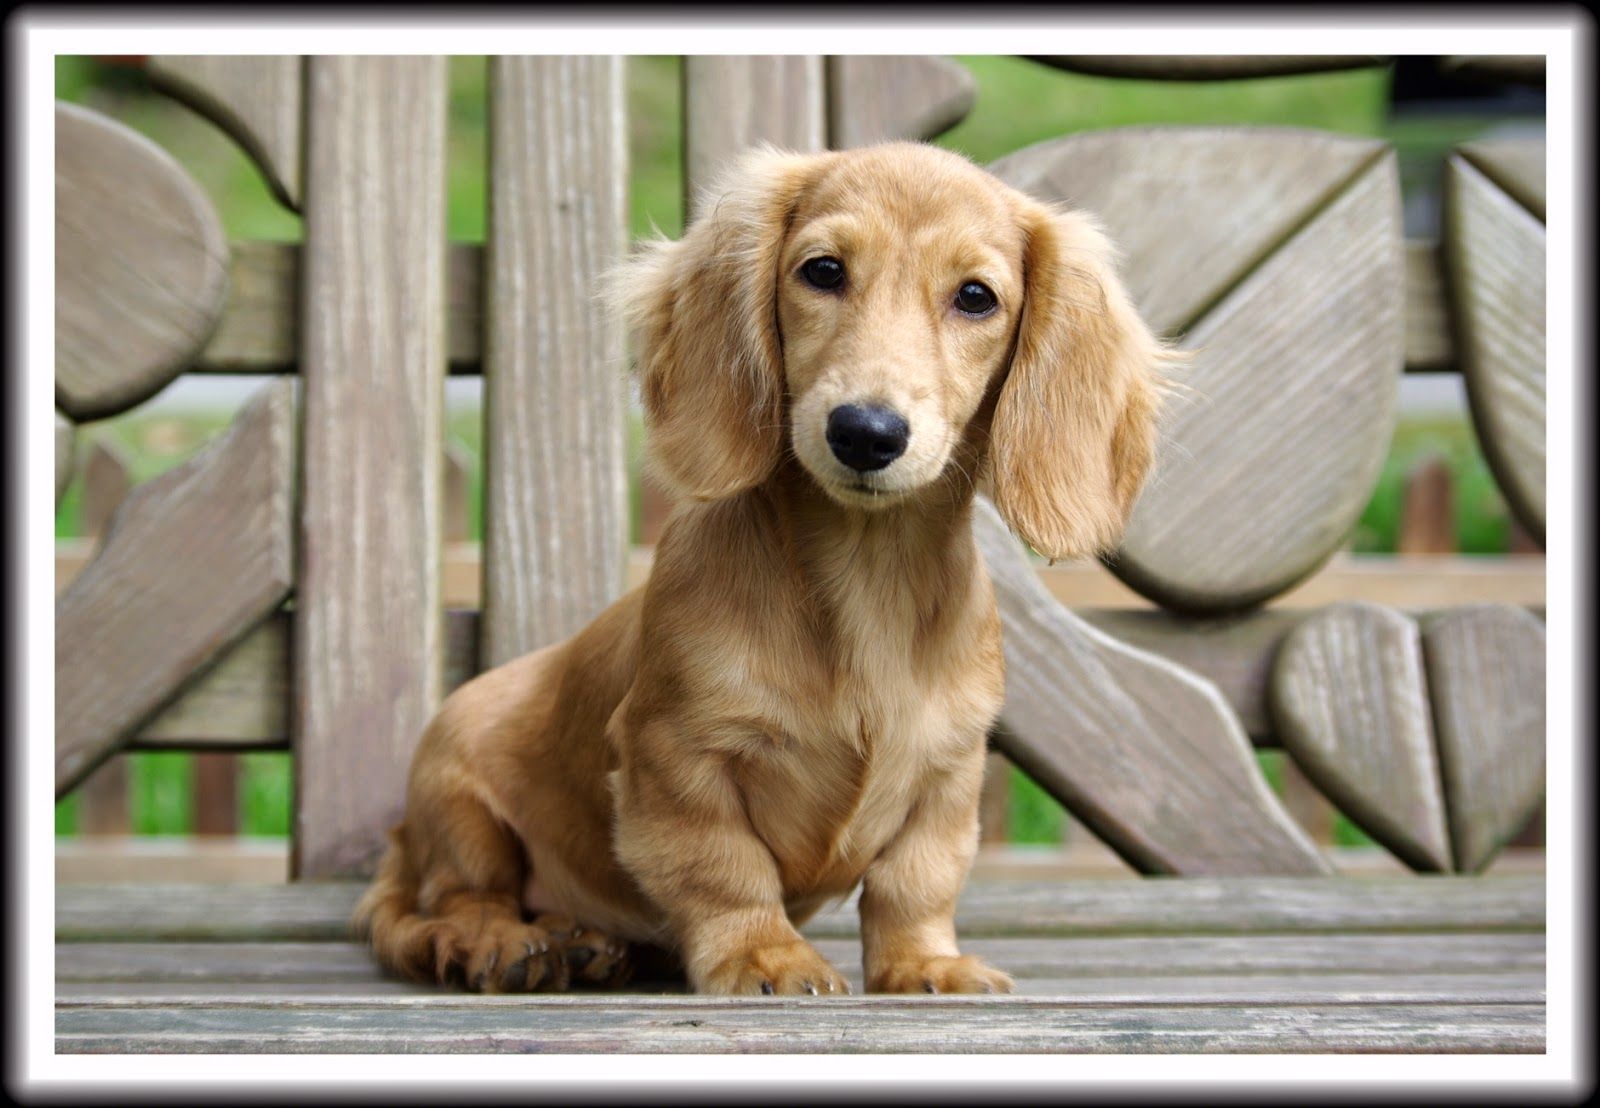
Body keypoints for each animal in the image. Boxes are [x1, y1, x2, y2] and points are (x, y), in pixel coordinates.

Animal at [356, 138, 1171, 992]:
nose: (866, 432)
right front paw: (763, 954)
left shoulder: (948, 774)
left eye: (976, 297)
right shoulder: (676, 756)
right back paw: (509, 944)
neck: (864, 582)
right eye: (823, 270)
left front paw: (923, 964)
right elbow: (725, 867)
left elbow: (916, 880)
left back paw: (581, 942)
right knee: (461, 898)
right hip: (456, 789)